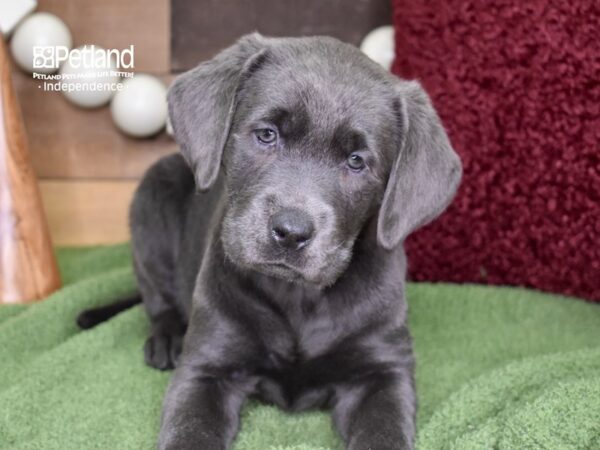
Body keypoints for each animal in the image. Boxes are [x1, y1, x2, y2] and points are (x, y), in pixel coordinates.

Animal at [82, 33, 462, 448]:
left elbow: (383, 433)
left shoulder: (383, 371)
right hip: (152, 198)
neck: (296, 297)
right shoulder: (206, 365)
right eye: (267, 134)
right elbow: (190, 430)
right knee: (157, 296)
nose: (291, 231)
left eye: (356, 161)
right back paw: (166, 338)